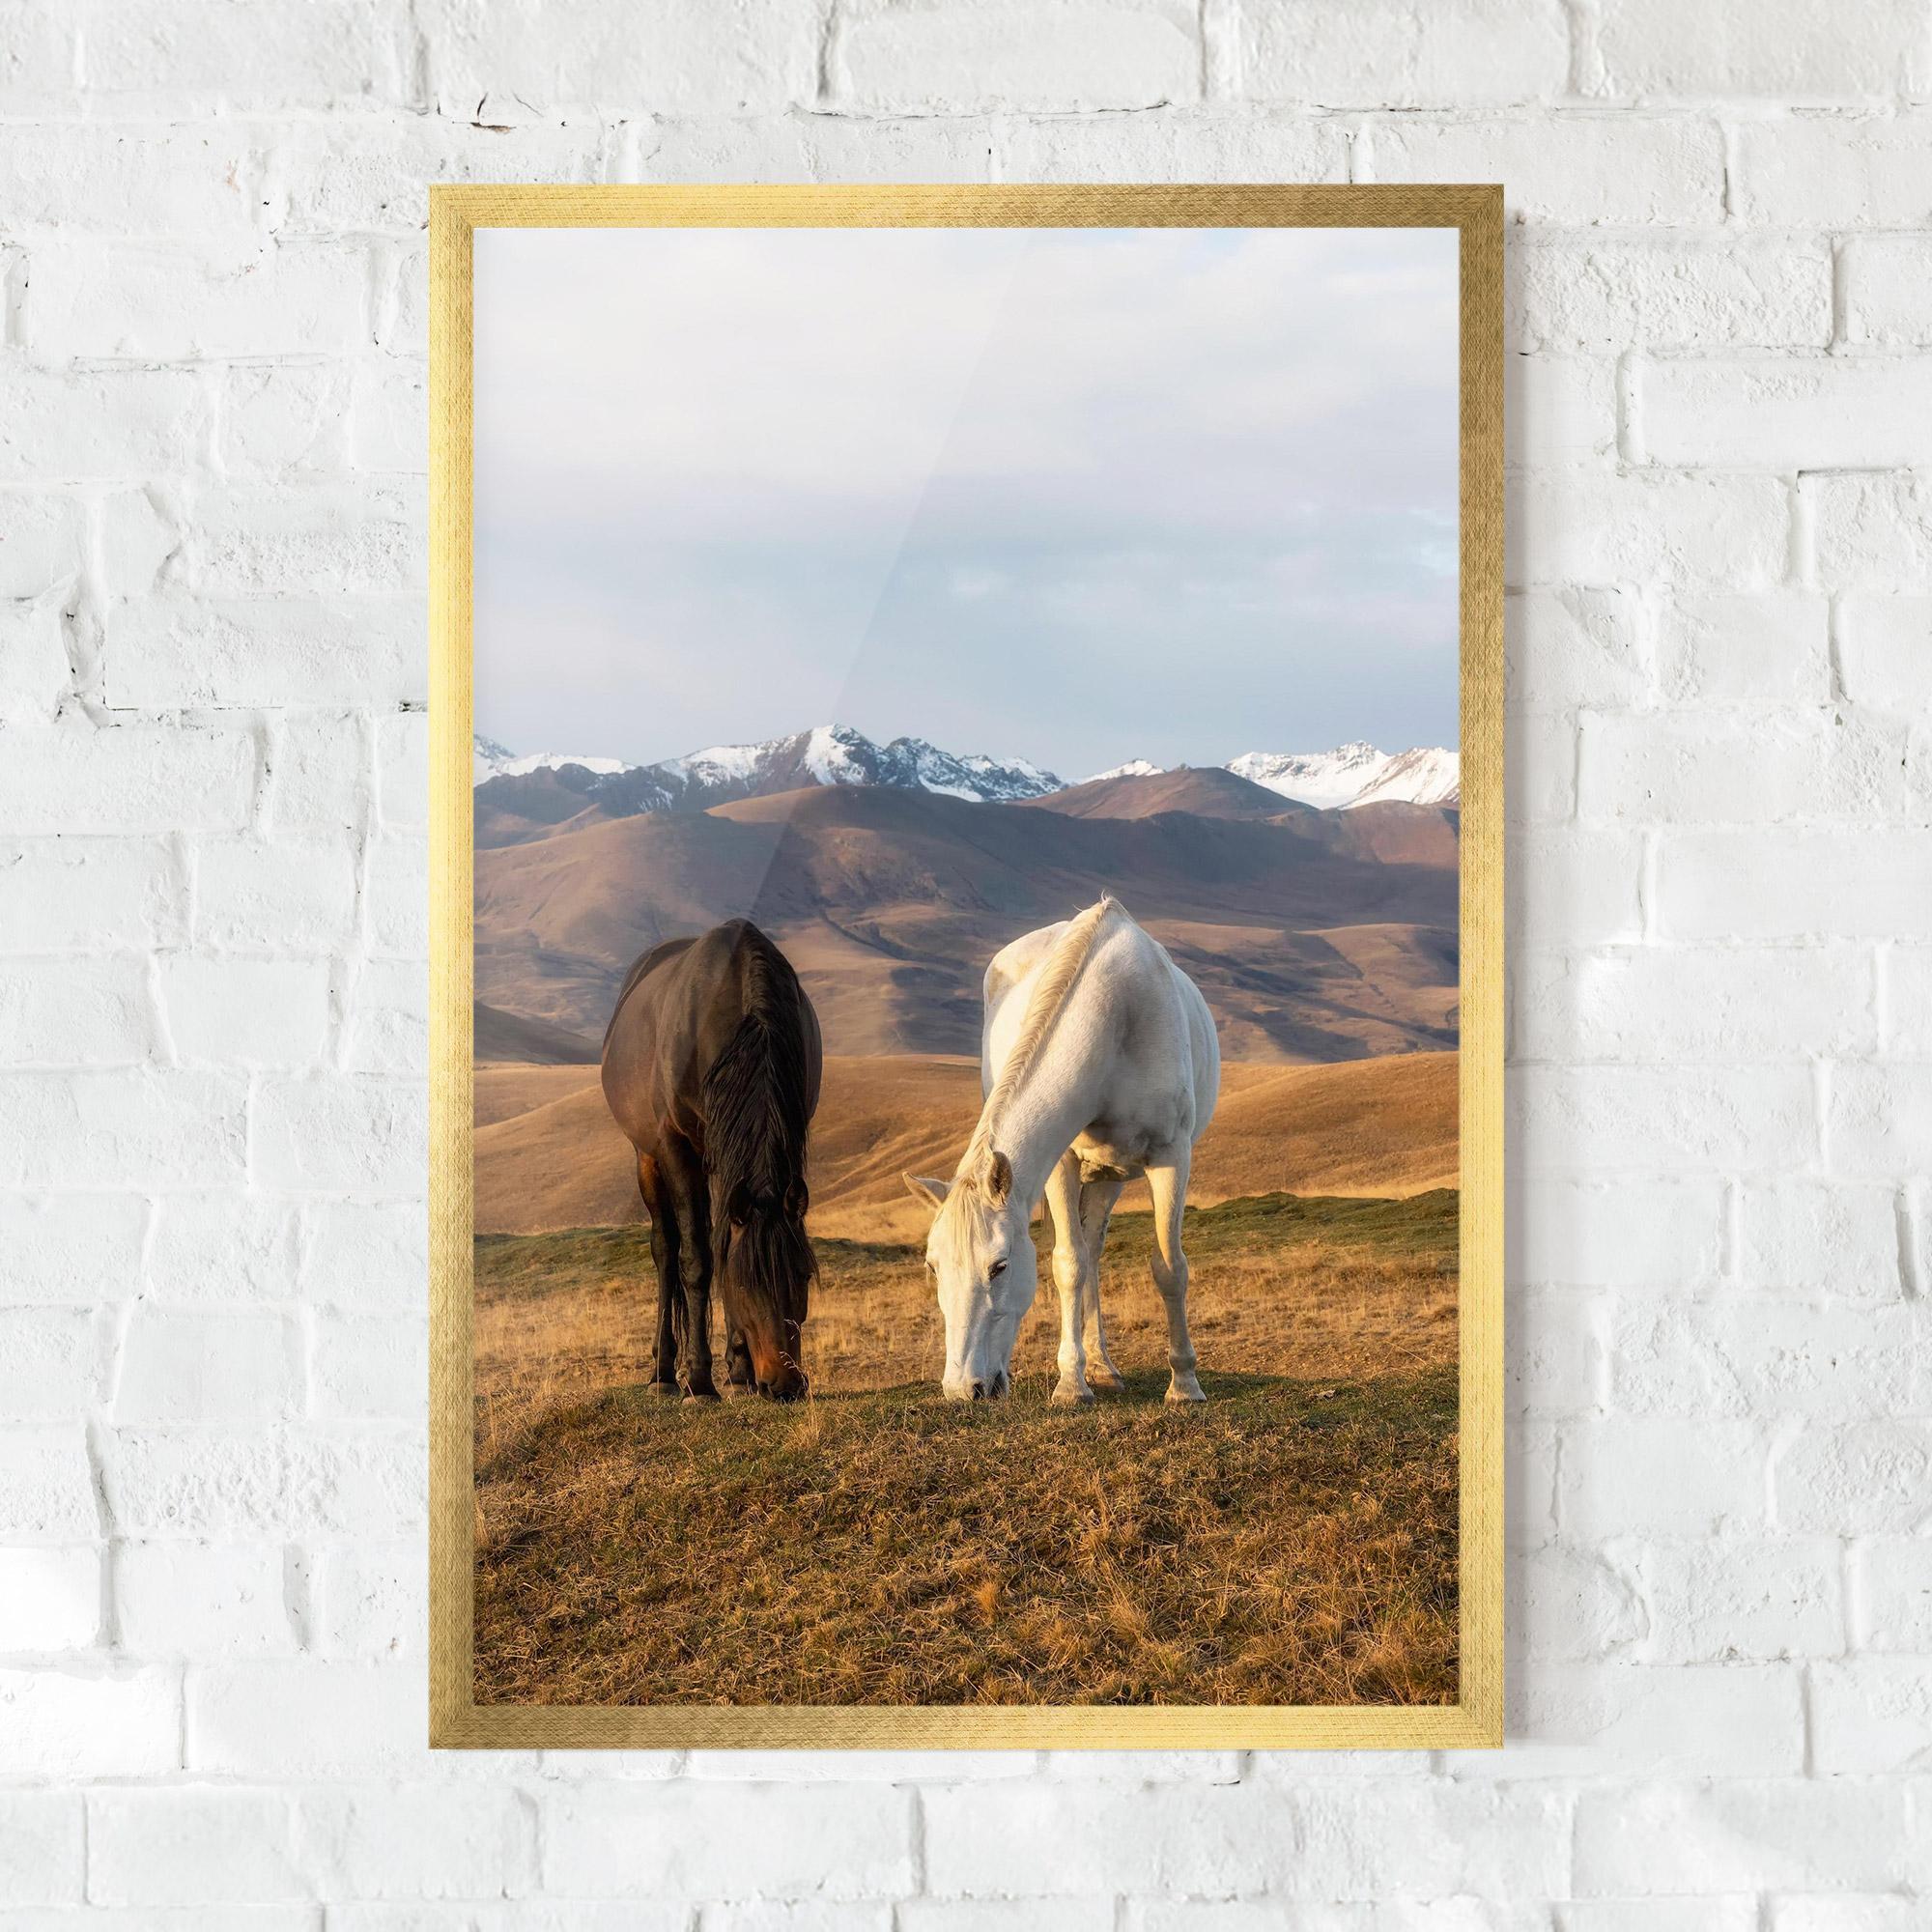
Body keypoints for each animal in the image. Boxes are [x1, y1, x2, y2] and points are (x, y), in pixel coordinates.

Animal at [601, 919, 823, 1402]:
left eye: (802, 1275)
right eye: (745, 1284)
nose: (785, 1385)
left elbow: (722, 1245)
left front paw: (739, 1371)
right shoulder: (676, 1147)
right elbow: (698, 1260)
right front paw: (700, 1380)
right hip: (647, 1158)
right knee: (666, 1250)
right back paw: (664, 1372)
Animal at [903, 896, 1220, 1405]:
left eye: (1000, 1266)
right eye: (933, 1267)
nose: (963, 1389)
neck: (1116, 1015)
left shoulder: (1171, 1158)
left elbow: (1170, 1267)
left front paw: (1185, 1384)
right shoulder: (1061, 1164)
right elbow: (1067, 1264)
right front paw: (1071, 1383)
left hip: (1112, 1176)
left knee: (1096, 1250)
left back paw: (1108, 1367)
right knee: (1083, 1255)